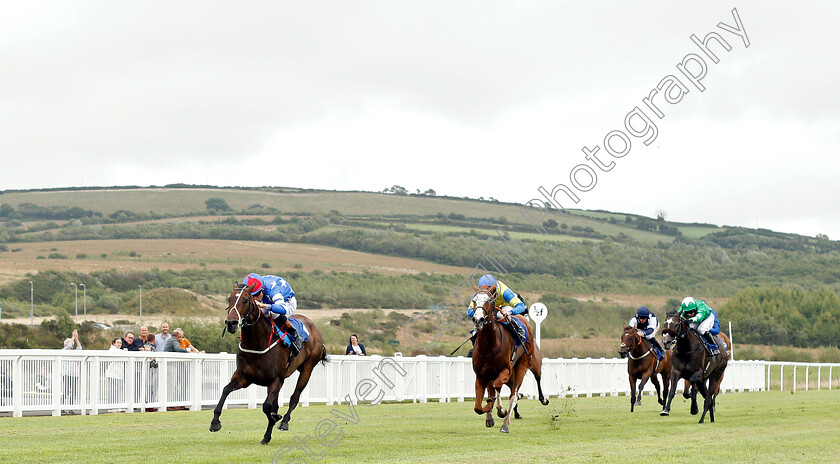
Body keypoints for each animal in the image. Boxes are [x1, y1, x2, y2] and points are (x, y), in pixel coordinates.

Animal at [208, 280, 326, 444]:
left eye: (246, 300)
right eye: (229, 299)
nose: (231, 322)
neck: (257, 343)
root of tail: (312, 326)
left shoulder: (275, 380)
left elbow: (267, 406)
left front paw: (275, 420)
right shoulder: (244, 377)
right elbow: (225, 390)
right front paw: (215, 422)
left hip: (307, 368)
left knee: (294, 397)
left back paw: (284, 422)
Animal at [470, 288, 548, 434]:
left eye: (489, 300)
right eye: (474, 300)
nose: (478, 319)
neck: (489, 345)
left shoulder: (506, 370)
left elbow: (498, 387)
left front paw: (501, 410)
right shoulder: (481, 375)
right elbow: (478, 406)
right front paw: (489, 412)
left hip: (525, 365)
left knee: (518, 391)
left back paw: (506, 424)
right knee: (511, 392)